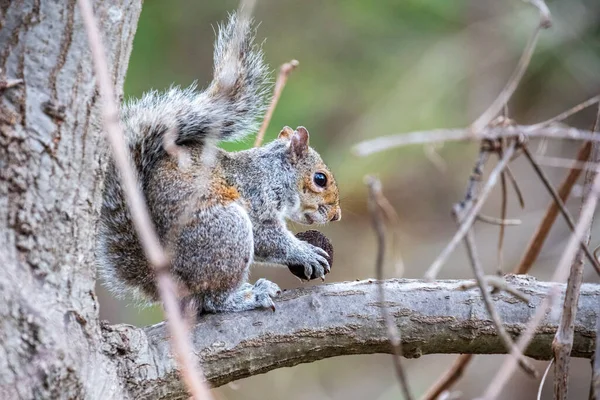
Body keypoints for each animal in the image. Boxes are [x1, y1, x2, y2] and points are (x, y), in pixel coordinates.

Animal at [97, 13, 342, 312]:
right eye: (320, 179)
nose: (336, 215)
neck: (272, 173)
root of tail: (171, 281)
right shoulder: (256, 198)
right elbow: (267, 238)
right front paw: (304, 252)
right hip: (227, 231)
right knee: (214, 301)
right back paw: (249, 296)